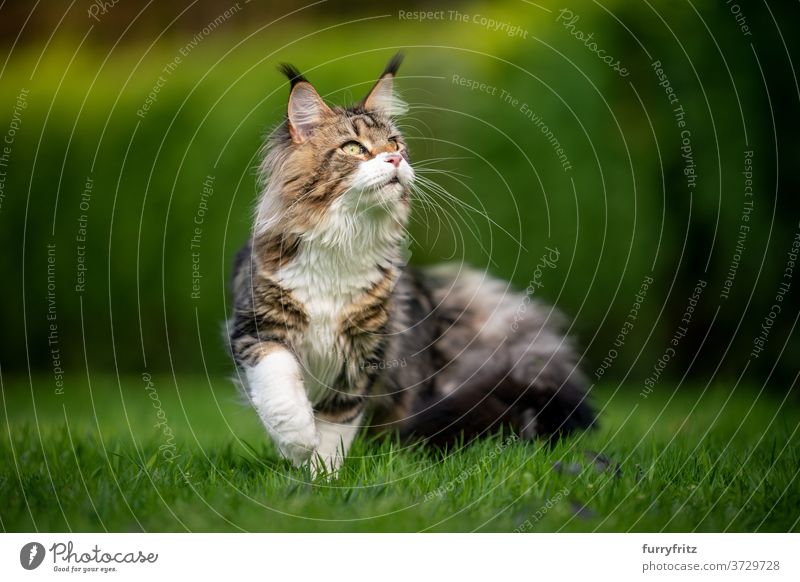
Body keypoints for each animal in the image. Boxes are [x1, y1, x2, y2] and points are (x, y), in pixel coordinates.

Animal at [228, 52, 592, 476]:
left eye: (395, 143)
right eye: (354, 148)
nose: (395, 158)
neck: (344, 243)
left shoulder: (365, 352)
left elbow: (336, 423)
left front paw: (323, 476)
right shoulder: (256, 327)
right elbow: (280, 387)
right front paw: (298, 443)